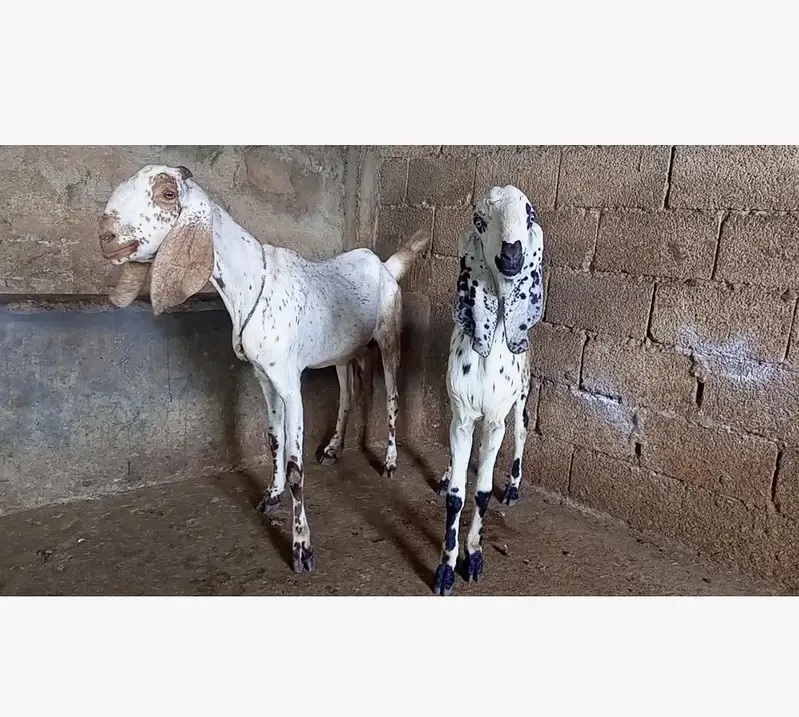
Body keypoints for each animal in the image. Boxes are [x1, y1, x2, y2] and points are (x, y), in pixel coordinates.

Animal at [98, 164, 430, 574]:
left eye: (168, 194)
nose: (105, 235)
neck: (251, 285)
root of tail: (384, 265)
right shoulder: (264, 380)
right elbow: (273, 440)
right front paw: (271, 496)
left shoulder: (290, 385)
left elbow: (295, 466)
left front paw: (302, 548)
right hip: (340, 352)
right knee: (348, 393)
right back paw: (334, 448)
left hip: (388, 336)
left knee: (392, 397)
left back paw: (389, 461)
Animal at [432, 185, 544, 596]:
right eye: (479, 219)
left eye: (529, 215)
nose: (511, 255)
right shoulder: (463, 416)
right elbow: (457, 497)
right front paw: (446, 569)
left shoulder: (495, 421)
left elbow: (481, 493)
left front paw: (474, 556)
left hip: (522, 398)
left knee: (523, 433)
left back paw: (512, 487)